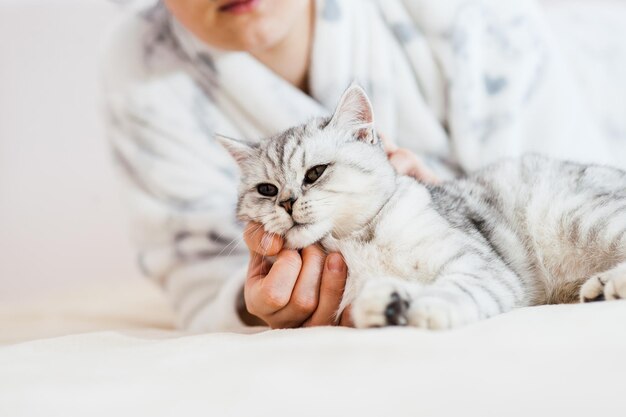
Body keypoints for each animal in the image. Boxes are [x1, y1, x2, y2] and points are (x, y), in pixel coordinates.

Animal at [218, 84, 624, 328]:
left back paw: (608, 285)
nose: (286, 203)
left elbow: (456, 288)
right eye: (267, 190)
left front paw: (427, 306)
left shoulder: (477, 265)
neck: (354, 241)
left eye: (315, 173)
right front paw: (390, 305)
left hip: (578, 216)